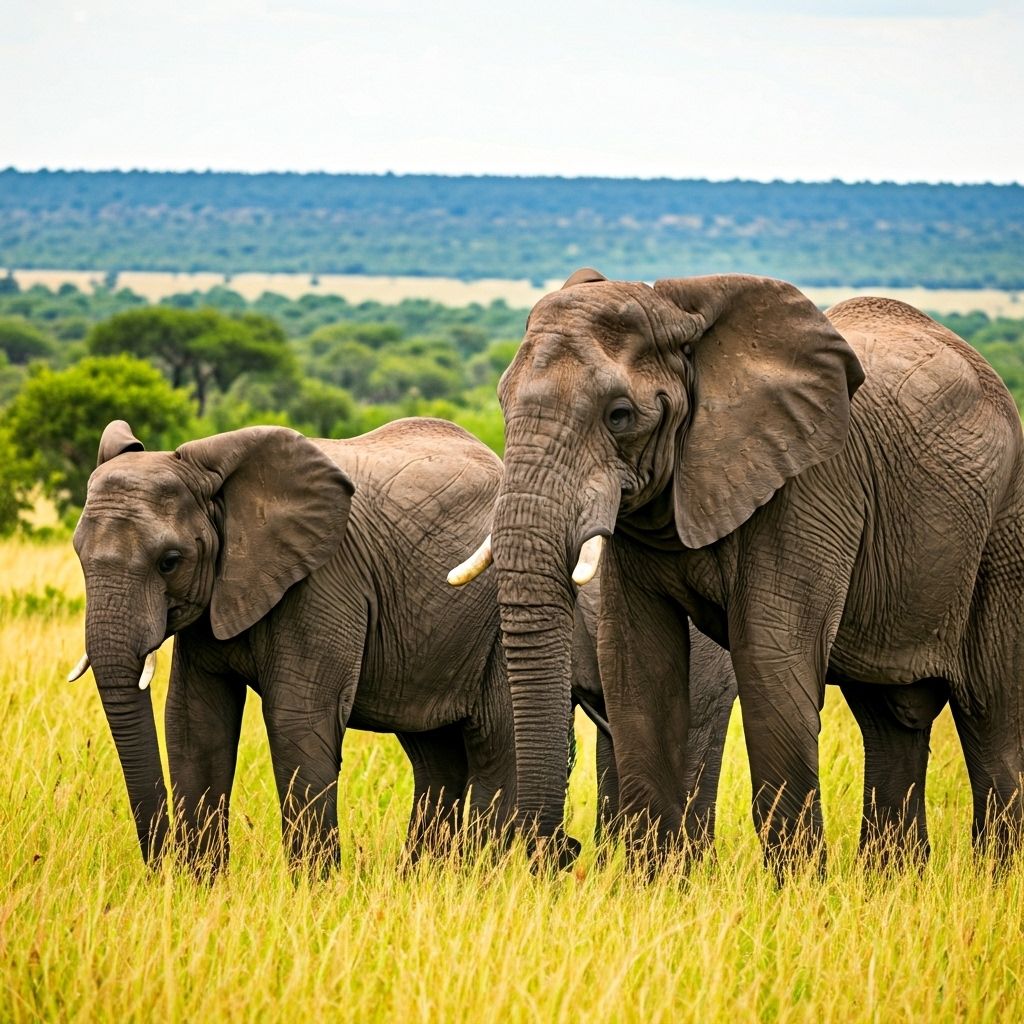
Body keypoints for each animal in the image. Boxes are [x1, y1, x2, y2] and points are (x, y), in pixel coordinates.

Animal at [72, 417, 517, 873]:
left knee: (495, 746)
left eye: (170, 562)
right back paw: (421, 876)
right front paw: (200, 883)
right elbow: (196, 722)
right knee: (435, 754)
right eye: (78, 555)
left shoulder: (322, 582)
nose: (161, 865)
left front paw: (315, 886)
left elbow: (296, 719)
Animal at [450, 268, 1024, 874]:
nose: (565, 851)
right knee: (888, 721)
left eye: (619, 415)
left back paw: (993, 877)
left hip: (1004, 524)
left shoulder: (808, 483)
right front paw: (654, 885)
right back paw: (893, 880)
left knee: (989, 712)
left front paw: (798, 890)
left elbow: (771, 656)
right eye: (503, 403)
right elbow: (637, 661)